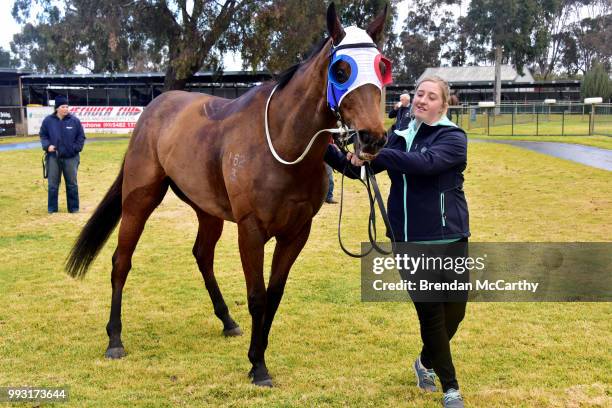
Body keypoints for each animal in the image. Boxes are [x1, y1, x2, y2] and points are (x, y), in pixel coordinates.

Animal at [67, 3, 390, 386]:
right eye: (341, 70)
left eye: (382, 67)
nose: (372, 137)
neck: (281, 142)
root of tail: (156, 107)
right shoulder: (250, 230)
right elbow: (257, 296)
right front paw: (258, 366)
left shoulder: (297, 232)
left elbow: (274, 295)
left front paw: (257, 354)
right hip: (139, 200)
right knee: (122, 261)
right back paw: (115, 339)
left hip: (207, 210)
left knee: (202, 255)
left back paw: (226, 320)